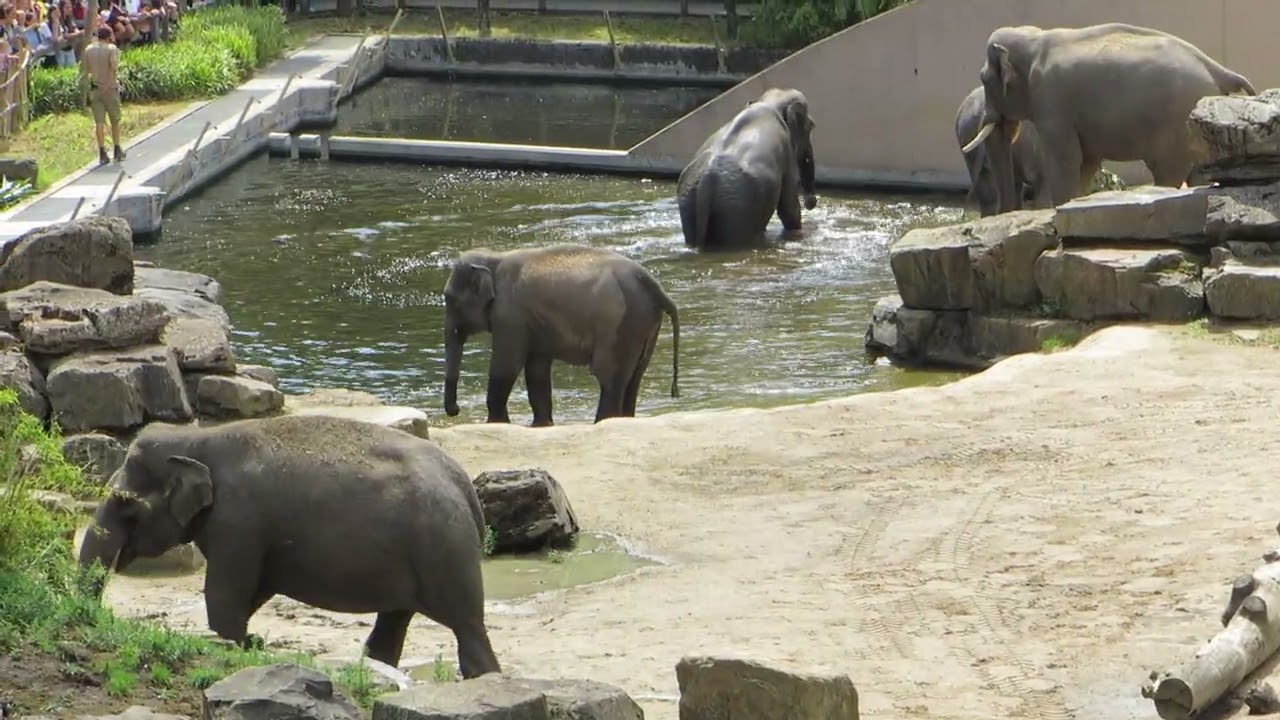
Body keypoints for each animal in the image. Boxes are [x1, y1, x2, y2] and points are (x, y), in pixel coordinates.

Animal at [76, 414, 503, 678]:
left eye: (125, 503)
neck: (196, 438)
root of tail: (466, 488)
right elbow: (251, 594)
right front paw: (249, 641)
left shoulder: (238, 523)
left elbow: (225, 598)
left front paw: (238, 642)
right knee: (393, 623)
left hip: (443, 551)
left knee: (467, 627)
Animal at [442, 243, 680, 427]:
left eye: (449, 299)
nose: (456, 409)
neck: (495, 258)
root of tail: (655, 286)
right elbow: (536, 371)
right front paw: (541, 425)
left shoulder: (509, 316)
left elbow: (506, 366)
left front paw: (497, 423)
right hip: (644, 324)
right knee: (634, 378)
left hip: (621, 325)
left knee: (610, 378)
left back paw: (601, 423)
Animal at [676, 87, 818, 250]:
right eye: (811, 125)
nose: (811, 202)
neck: (769, 103)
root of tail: (706, 181)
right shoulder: (786, 152)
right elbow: (789, 208)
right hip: (737, 208)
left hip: (690, 201)